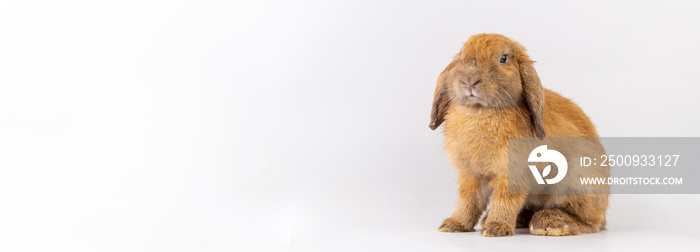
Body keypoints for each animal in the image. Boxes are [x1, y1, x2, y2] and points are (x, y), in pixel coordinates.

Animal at [426, 33, 608, 236]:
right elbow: (468, 201)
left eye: (503, 58)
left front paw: (495, 229)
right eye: (462, 55)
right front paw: (454, 225)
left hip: (576, 184)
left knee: (589, 222)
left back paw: (550, 222)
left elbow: (504, 201)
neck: (479, 110)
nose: (470, 81)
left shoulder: (512, 174)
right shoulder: (470, 175)